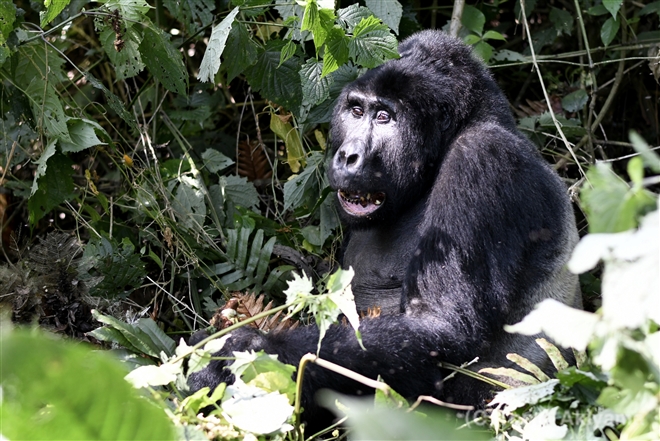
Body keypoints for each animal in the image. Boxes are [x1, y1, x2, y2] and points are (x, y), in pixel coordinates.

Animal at [188, 31, 580, 430]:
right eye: (356, 111)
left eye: (384, 117)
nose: (348, 156)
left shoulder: (482, 159)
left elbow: (439, 327)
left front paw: (245, 351)